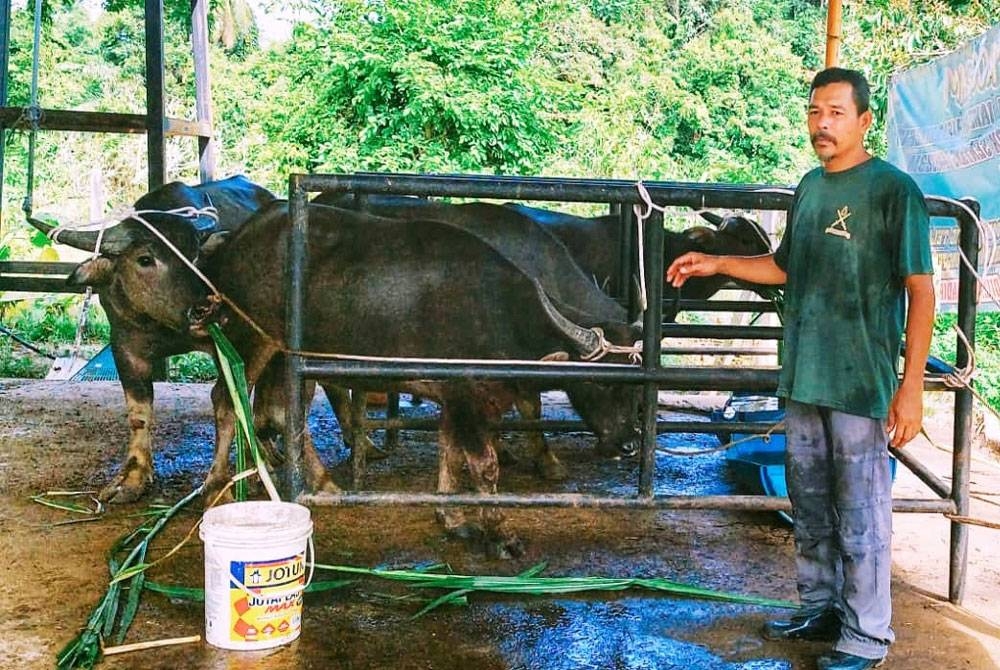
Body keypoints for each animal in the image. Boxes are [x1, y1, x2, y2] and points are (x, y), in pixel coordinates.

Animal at [177, 202, 644, 560]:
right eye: (602, 383)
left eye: (635, 384)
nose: (628, 442)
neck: (500, 313)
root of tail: (236, 238)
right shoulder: (468, 396)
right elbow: (484, 466)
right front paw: (500, 533)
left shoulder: (454, 400)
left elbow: (450, 454)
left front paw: (451, 518)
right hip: (248, 336)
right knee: (226, 399)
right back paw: (216, 485)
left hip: (288, 353)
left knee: (274, 412)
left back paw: (323, 482)